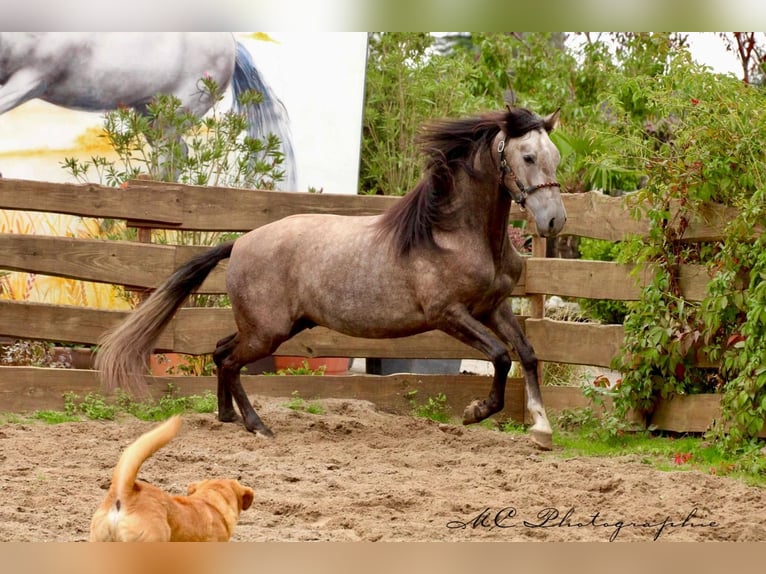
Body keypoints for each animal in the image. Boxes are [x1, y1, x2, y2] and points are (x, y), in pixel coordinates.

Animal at [0, 32, 296, 190]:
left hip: (171, 116)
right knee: (176, 156)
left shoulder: (30, 80)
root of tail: (233, 47)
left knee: (171, 155)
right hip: (150, 116)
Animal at [96, 106, 567, 450]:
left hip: (275, 327)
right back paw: (257, 426)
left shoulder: (493, 307)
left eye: (556, 157)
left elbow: (527, 354)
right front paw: (475, 412)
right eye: (527, 157)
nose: (554, 221)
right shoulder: (449, 314)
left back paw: (227, 417)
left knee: (220, 351)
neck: (452, 234)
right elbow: (501, 356)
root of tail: (241, 242)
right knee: (229, 360)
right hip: (267, 332)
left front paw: (541, 430)